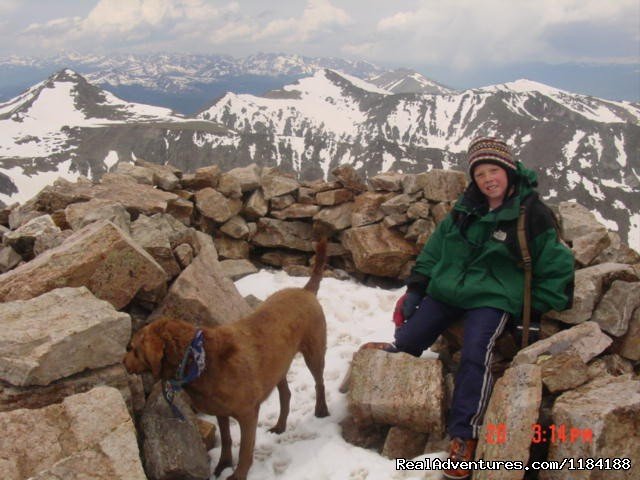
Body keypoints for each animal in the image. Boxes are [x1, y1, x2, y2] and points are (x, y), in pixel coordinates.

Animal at [124, 240, 330, 480]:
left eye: (133, 349)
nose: (123, 362)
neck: (200, 359)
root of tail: (305, 290)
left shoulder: (248, 414)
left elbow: (245, 450)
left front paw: (238, 474)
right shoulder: (221, 412)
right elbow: (226, 440)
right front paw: (223, 464)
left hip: (314, 353)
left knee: (319, 383)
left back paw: (322, 410)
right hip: (277, 365)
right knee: (286, 394)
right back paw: (280, 426)